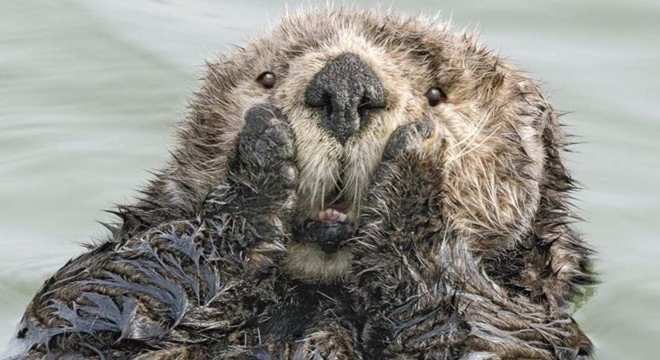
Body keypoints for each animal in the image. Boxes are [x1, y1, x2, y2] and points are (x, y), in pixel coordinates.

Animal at [6, 8, 592, 360]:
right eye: (267, 77)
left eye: (436, 94)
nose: (346, 84)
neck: (319, 296)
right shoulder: (79, 313)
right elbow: (91, 299)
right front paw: (261, 159)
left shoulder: (536, 322)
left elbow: (489, 334)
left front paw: (415, 168)